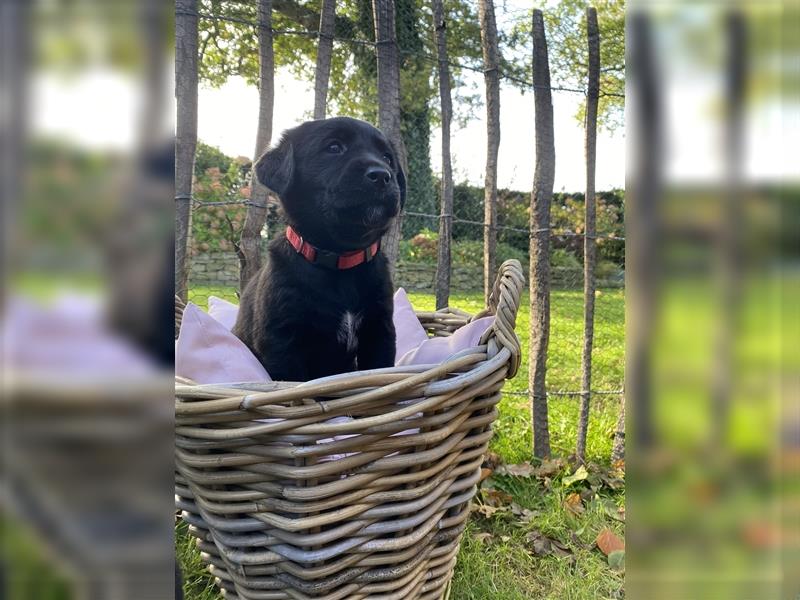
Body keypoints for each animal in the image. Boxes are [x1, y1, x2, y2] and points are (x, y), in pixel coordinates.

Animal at [233, 116, 406, 380]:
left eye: (387, 158)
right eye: (334, 147)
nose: (381, 175)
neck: (340, 258)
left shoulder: (379, 331)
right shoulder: (282, 341)